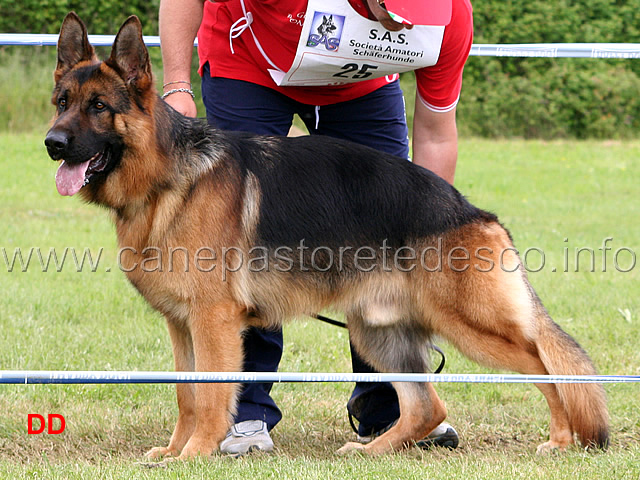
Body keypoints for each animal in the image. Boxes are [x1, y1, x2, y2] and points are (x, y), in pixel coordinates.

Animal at [46, 13, 608, 460]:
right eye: (62, 101)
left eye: (99, 107)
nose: (52, 143)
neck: (167, 177)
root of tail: (473, 211)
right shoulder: (181, 324)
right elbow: (187, 395)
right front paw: (175, 451)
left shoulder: (213, 322)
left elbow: (209, 396)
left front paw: (194, 455)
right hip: (376, 332)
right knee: (426, 405)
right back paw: (372, 451)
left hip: (469, 324)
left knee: (544, 364)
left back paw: (561, 440)